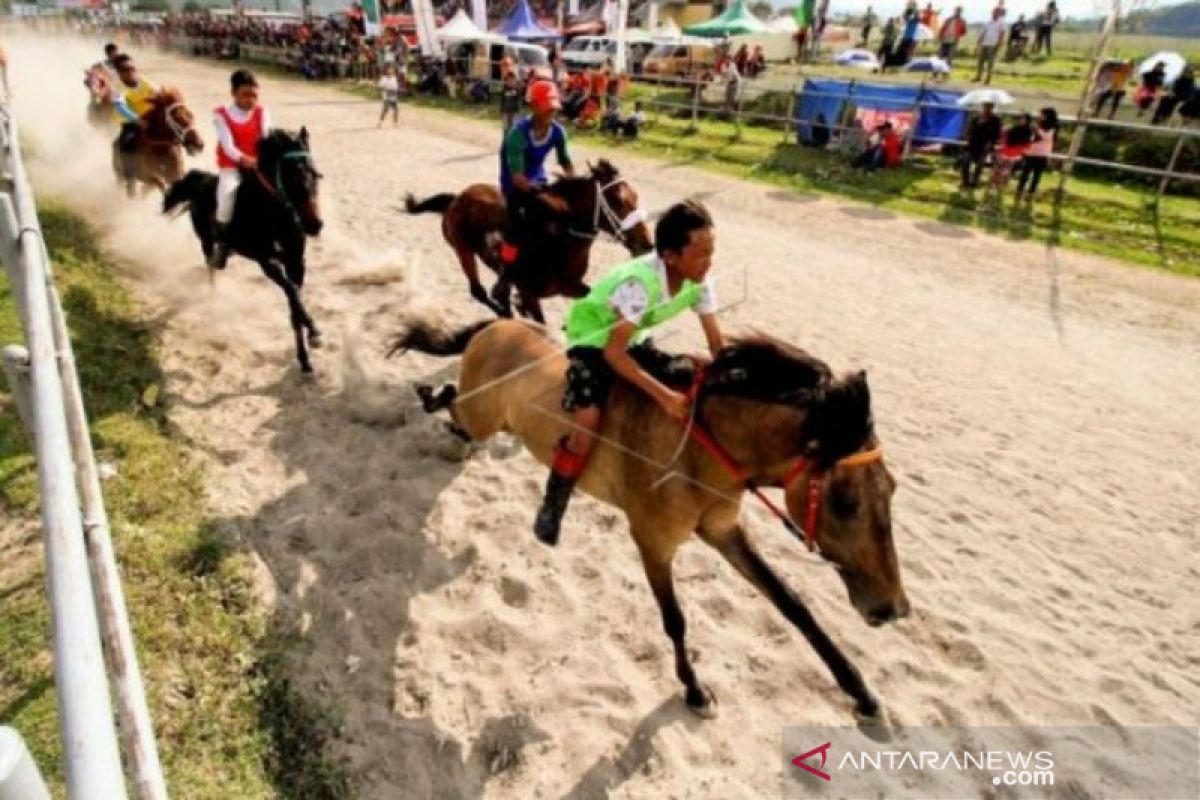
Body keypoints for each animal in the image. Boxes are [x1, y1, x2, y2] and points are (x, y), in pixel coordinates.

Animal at [164, 127, 326, 371]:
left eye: (315, 174)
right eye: (290, 177)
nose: (314, 225)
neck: (276, 216)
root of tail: (201, 179)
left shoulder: (296, 261)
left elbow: (294, 301)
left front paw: (306, 354)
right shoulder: (267, 261)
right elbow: (292, 292)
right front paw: (314, 333)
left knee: (216, 262)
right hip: (205, 238)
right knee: (210, 265)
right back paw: (212, 298)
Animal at [393, 319, 907, 719]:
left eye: (893, 489)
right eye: (845, 501)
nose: (893, 608)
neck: (701, 449)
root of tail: (497, 325)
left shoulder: (723, 531)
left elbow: (793, 605)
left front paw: (861, 692)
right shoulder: (654, 542)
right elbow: (675, 620)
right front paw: (696, 690)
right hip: (483, 413)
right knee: (455, 404)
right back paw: (430, 393)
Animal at [403, 158, 652, 323]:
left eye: (636, 197)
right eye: (617, 201)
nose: (646, 244)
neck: (561, 243)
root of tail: (457, 198)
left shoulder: (569, 286)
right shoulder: (530, 292)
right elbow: (540, 323)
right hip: (462, 250)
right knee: (479, 291)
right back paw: (505, 312)